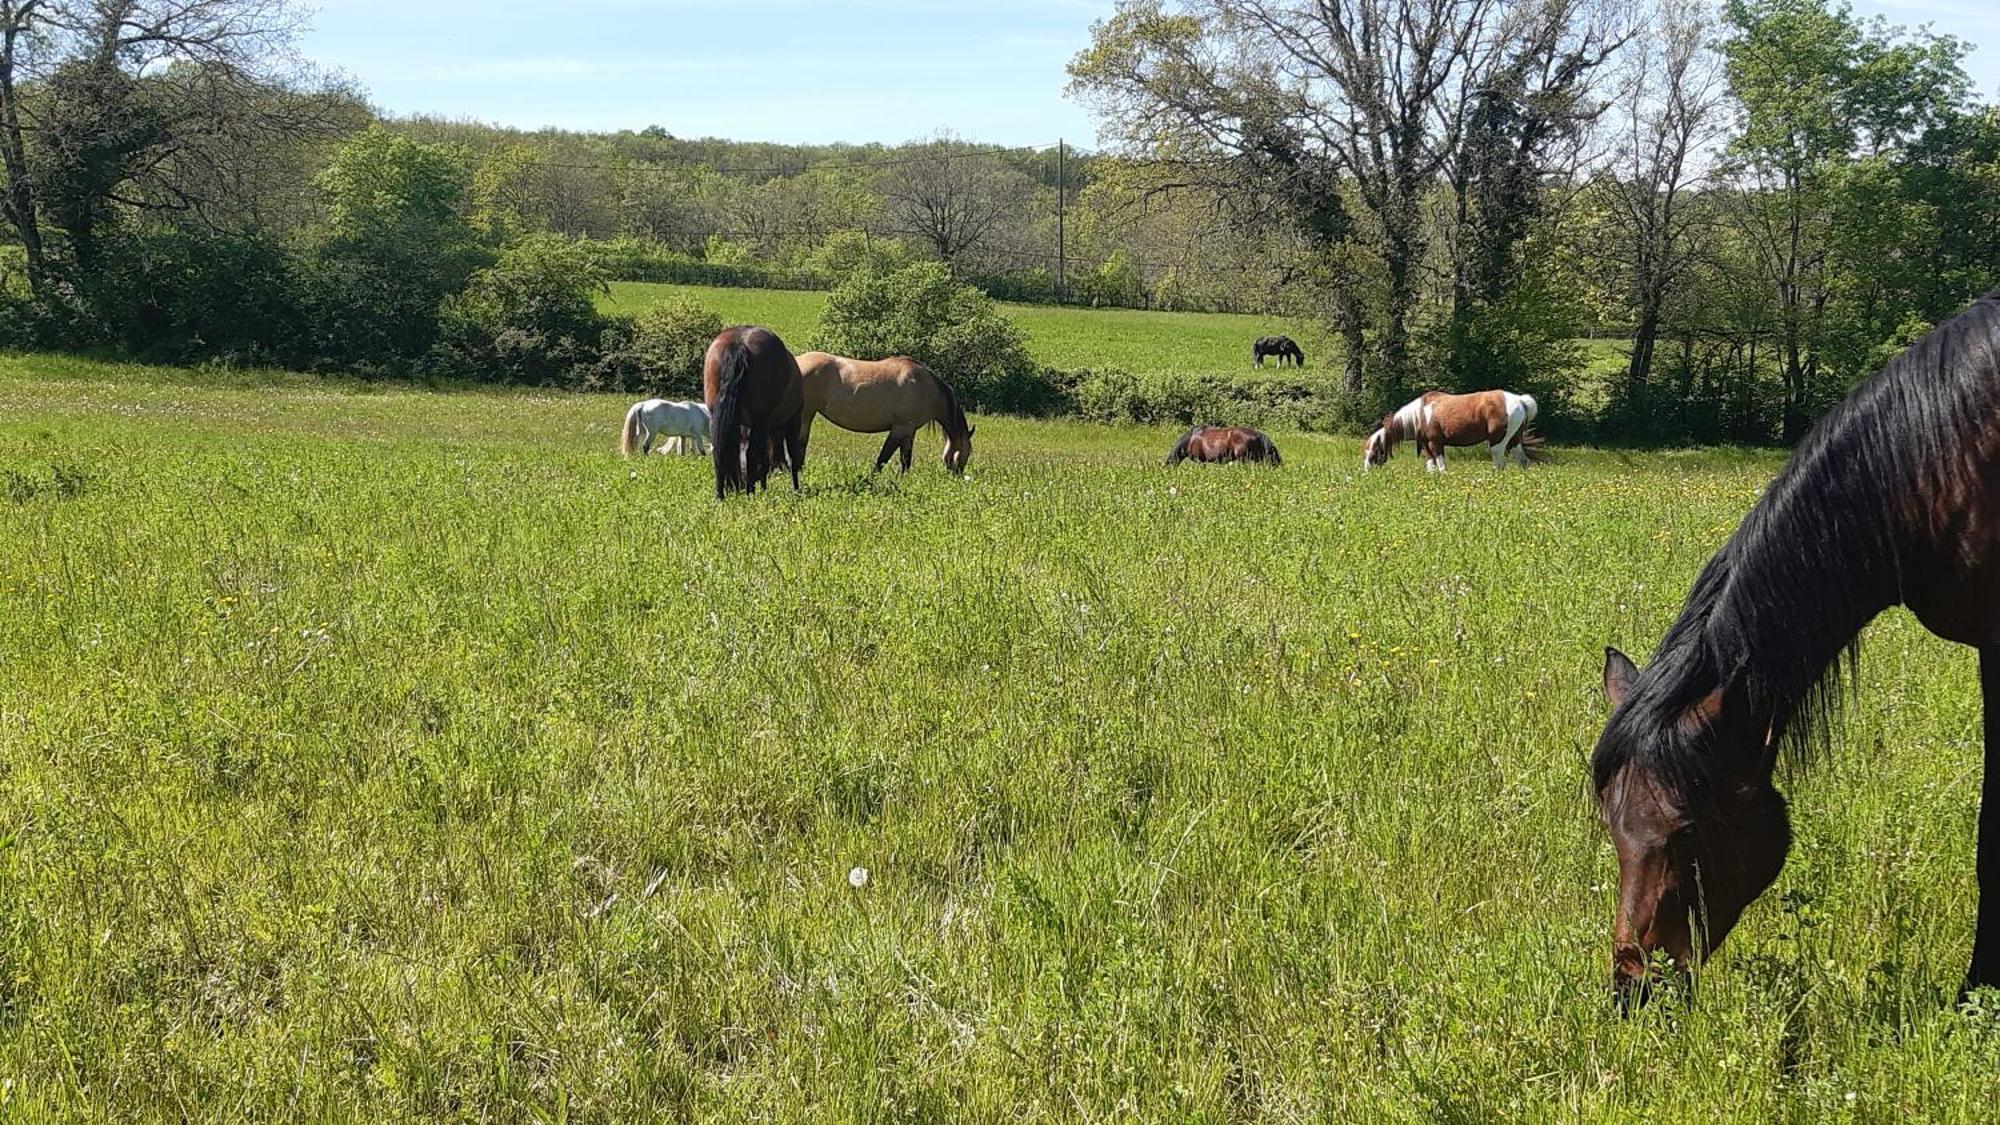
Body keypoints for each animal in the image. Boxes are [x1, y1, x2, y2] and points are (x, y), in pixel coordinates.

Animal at [700, 326, 800, 496]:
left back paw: (722, 493)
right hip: (759, 420)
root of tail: (739, 343)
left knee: (722, 451)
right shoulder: (789, 421)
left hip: (717, 417)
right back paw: (750, 491)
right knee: (751, 453)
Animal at [792, 350, 972, 472]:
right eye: (968, 452)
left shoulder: (909, 431)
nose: (957, 476)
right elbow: (883, 458)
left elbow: (905, 460)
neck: (925, 387)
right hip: (805, 416)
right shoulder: (899, 428)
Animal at [1360, 388, 1544, 470]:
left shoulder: (1436, 444)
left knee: (1499, 464)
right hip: (1514, 441)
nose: (1367, 470)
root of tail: (1520, 400)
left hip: (1498, 442)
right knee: (1523, 462)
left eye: (1375, 449)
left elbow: (1442, 467)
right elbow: (1431, 467)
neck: (1420, 414)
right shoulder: (1427, 447)